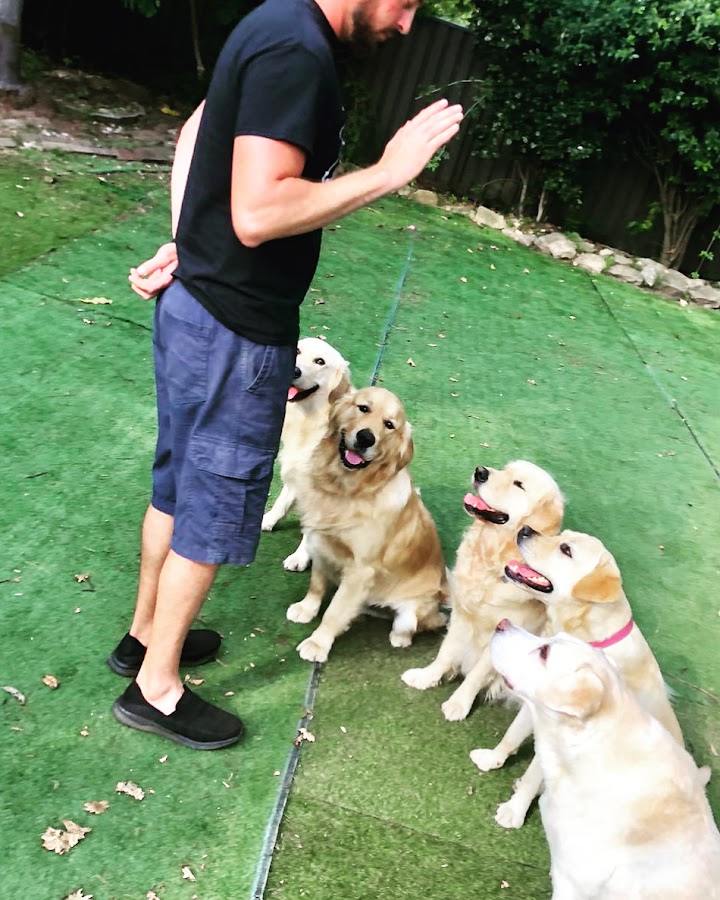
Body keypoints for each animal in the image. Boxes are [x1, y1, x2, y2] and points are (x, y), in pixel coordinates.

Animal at [261, 337, 351, 571]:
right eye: (298, 351)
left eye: (320, 361)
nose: (294, 370)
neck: (309, 420)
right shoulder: (296, 471)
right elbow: (281, 501)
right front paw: (267, 519)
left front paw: (300, 557)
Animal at [286, 385, 447, 663]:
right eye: (363, 408)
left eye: (389, 425)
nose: (365, 438)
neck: (346, 489)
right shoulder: (320, 543)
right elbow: (316, 583)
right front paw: (307, 609)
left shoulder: (361, 570)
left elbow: (334, 611)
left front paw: (318, 644)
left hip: (411, 611)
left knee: (415, 625)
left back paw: (399, 638)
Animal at [401, 460, 564, 720]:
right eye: (505, 468)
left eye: (519, 484)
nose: (481, 472)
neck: (491, 561)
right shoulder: (461, 616)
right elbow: (446, 652)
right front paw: (427, 677)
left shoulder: (500, 635)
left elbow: (476, 674)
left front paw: (459, 704)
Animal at [470, 528, 696, 830]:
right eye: (561, 536)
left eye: (566, 549)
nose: (525, 529)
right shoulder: (535, 706)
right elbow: (511, 735)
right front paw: (492, 759)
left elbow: (533, 776)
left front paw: (514, 811)